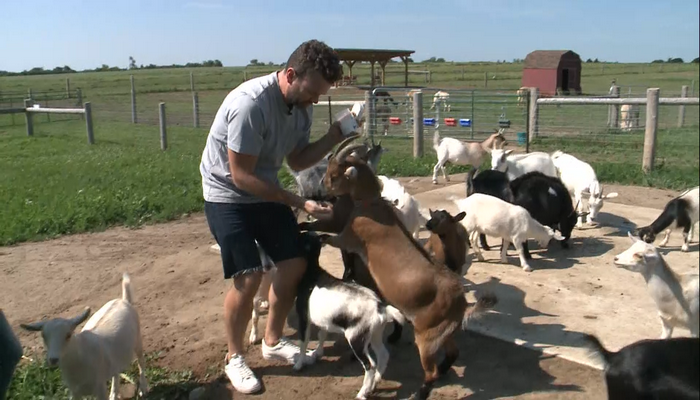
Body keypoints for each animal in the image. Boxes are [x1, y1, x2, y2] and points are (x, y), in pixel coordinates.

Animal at [292, 231, 404, 400]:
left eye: (302, 237)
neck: (313, 273)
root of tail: (381, 307)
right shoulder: (325, 321)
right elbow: (321, 335)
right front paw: (317, 353)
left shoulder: (303, 316)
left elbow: (303, 341)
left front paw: (299, 364)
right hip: (375, 334)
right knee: (383, 355)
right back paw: (375, 383)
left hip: (356, 338)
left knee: (370, 364)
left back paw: (362, 393)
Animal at [318, 134, 498, 400]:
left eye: (333, 175)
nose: (322, 192)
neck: (373, 205)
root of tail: (461, 303)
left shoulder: (348, 238)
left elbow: (328, 237)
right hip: (444, 332)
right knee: (452, 353)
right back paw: (443, 372)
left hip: (426, 335)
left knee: (430, 371)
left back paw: (420, 392)